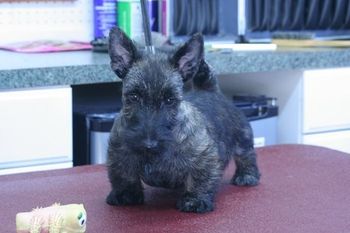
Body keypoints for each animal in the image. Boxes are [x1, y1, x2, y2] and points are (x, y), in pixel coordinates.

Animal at [106, 27, 260, 213]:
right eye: (134, 96)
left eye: (170, 99)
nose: (149, 144)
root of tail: (210, 90)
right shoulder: (119, 154)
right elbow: (124, 175)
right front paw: (126, 195)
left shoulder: (205, 156)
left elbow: (200, 178)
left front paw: (195, 200)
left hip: (243, 139)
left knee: (247, 156)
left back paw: (247, 175)